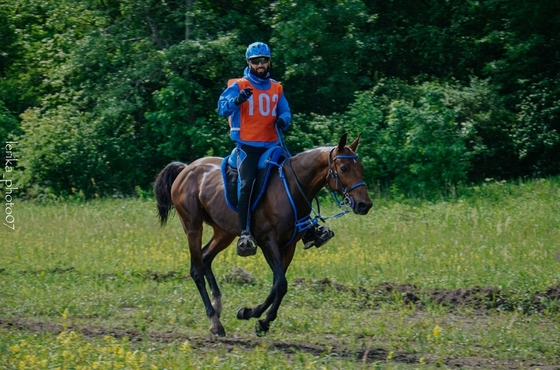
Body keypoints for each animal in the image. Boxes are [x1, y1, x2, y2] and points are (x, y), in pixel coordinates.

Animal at [153, 132, 372, 336]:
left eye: (362, 169)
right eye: (344, 168)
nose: (365, 205)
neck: (290, 187)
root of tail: (185, 169)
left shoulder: (288, 246)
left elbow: (278, 285)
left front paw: (260, 319)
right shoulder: (268, 242)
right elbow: (281, 284)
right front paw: (252, 314)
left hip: (224, 232)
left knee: (206, 257)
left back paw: (217, 306)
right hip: (193, 227)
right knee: (196, 269)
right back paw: (215, 322)